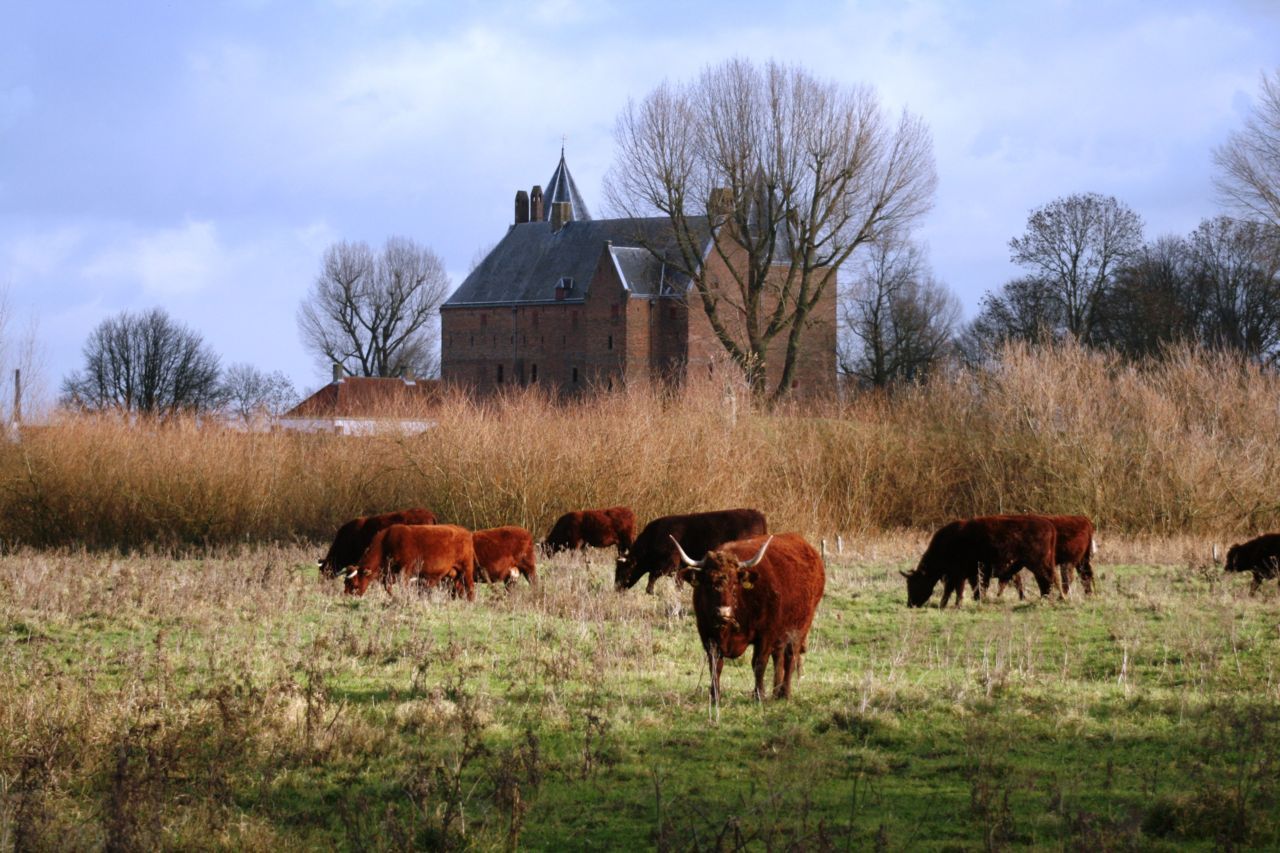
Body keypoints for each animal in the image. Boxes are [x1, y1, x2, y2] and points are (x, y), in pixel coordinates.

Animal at [345, 517, 476, 596]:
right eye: (345, 583)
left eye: (354, 584)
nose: (346, 596)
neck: (386, 542)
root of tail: (464, 530)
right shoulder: (390, 574)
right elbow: (387, 587)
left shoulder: (405, 570)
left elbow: (403, 587)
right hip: (455, 573)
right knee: (459, 588)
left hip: (466, 569)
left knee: (470, 587)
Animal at [614, 504, 762, 591]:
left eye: (623, 569)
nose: (616, 589)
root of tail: (756, 513)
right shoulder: (679, 568)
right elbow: (677, 584)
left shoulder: (668, 565)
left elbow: (651, 579)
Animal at [906, 512, 1064, 604]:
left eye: (915, 583)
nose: (910, 604)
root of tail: (1049, 525)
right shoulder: (965, 574)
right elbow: (964, 588)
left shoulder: (962, 573)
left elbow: (962, 588)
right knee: (1045, 580)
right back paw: (1045, 597)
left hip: (1039, 564)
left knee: (1048, 579)